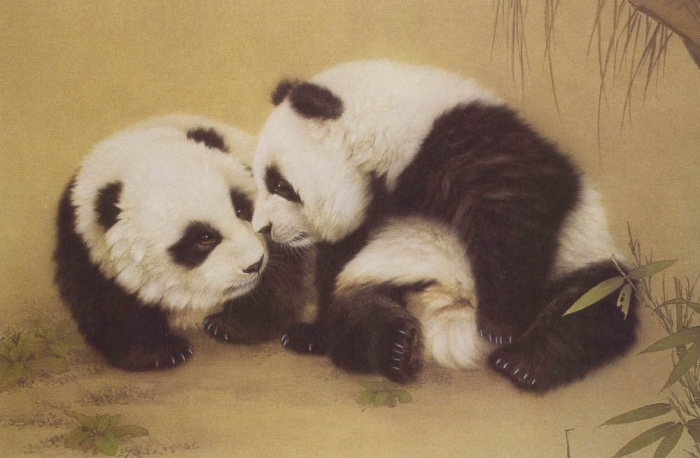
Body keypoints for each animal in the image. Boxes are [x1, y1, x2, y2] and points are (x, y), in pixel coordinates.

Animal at [54, 114, 314, 371]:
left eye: (241, 210)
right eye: (204, 238)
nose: (255, 264)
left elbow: (285, 273)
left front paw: (230, 325)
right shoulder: (84, 248)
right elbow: (106, 304)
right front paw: (160, 351)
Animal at [251, 60, 638, 392]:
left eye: (280, 185)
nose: (262, 228)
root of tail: (447, 310)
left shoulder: (470, 139)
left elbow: (512, 210)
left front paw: (499, 326)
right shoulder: (365, 219)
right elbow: (335, 271)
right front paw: (311, 335)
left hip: (586, 256)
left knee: (592, 308)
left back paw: (523, 364)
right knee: (360, 309)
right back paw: (395, 346)